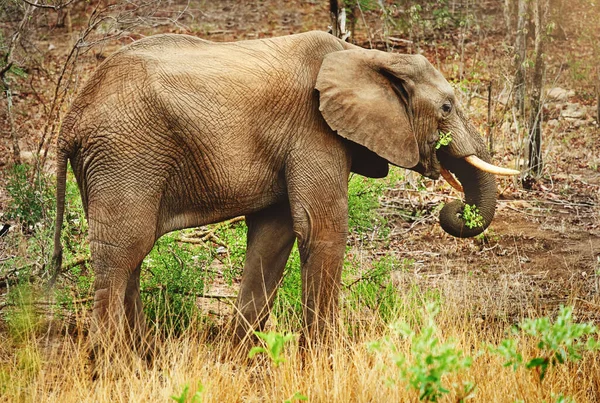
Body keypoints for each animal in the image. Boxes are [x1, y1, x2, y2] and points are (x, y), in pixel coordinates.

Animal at [51, 30, 516, 354]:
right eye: (447, 108)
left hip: (111, 163)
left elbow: (275, 236)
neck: (366, 54)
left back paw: (144, 358)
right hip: (125, 155)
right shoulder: (314, 130)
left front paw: (239, 358)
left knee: (131, 251)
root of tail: (71, 118)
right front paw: (324, 361)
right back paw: (113, 363)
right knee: (123, 250)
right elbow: (321, 229)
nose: (451, 209)